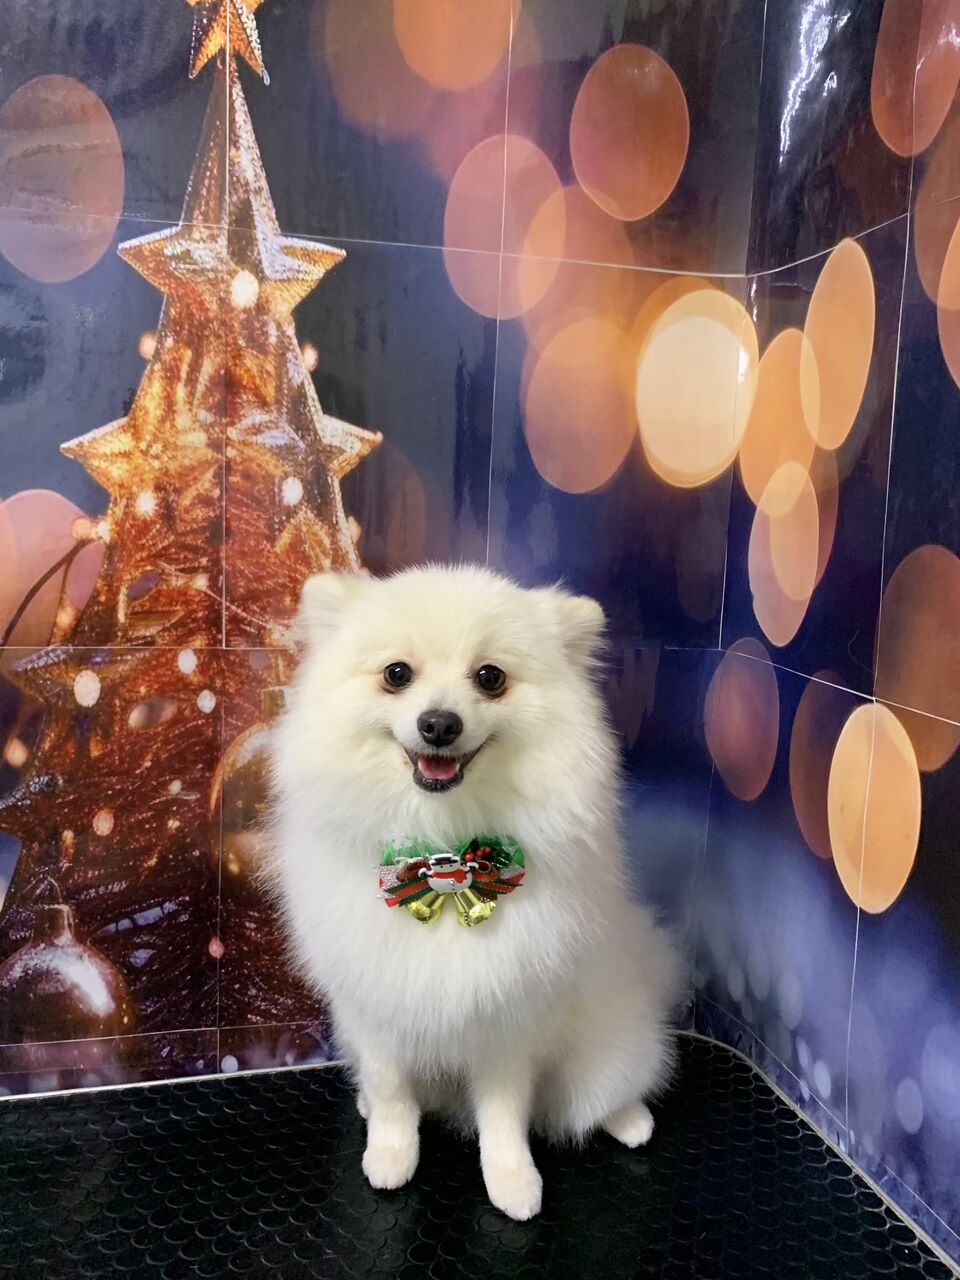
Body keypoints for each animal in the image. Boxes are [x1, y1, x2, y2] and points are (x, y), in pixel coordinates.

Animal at [270, 565, 683, 1221]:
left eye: (490, 677)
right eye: (396, 674)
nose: (439, 723)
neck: (443, 848)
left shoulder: (507, 1013)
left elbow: (505, 1114)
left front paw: (512, 1180)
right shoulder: (373, 1004)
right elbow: (392, 1092)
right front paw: (390, 1154)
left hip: (602, 1050)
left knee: (607, 1087)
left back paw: (630, 1119)